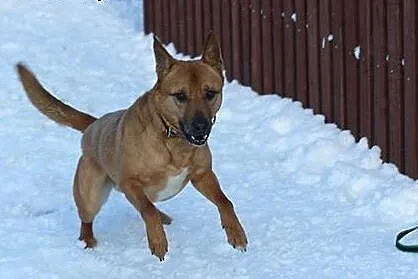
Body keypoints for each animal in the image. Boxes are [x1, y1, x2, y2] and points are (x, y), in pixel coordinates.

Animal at [15, 33, 245, 262]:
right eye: (180, 95)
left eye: (210, 93)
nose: (201, 126)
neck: (171, 139)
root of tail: (92, 126)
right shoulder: (130, 182)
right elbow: (148, 211)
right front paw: (158, 241)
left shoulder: (202, 175)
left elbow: (225, 201)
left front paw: (236, 233)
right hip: (91, 193)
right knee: (89, 218)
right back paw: (88, 241)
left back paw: (163, 217)